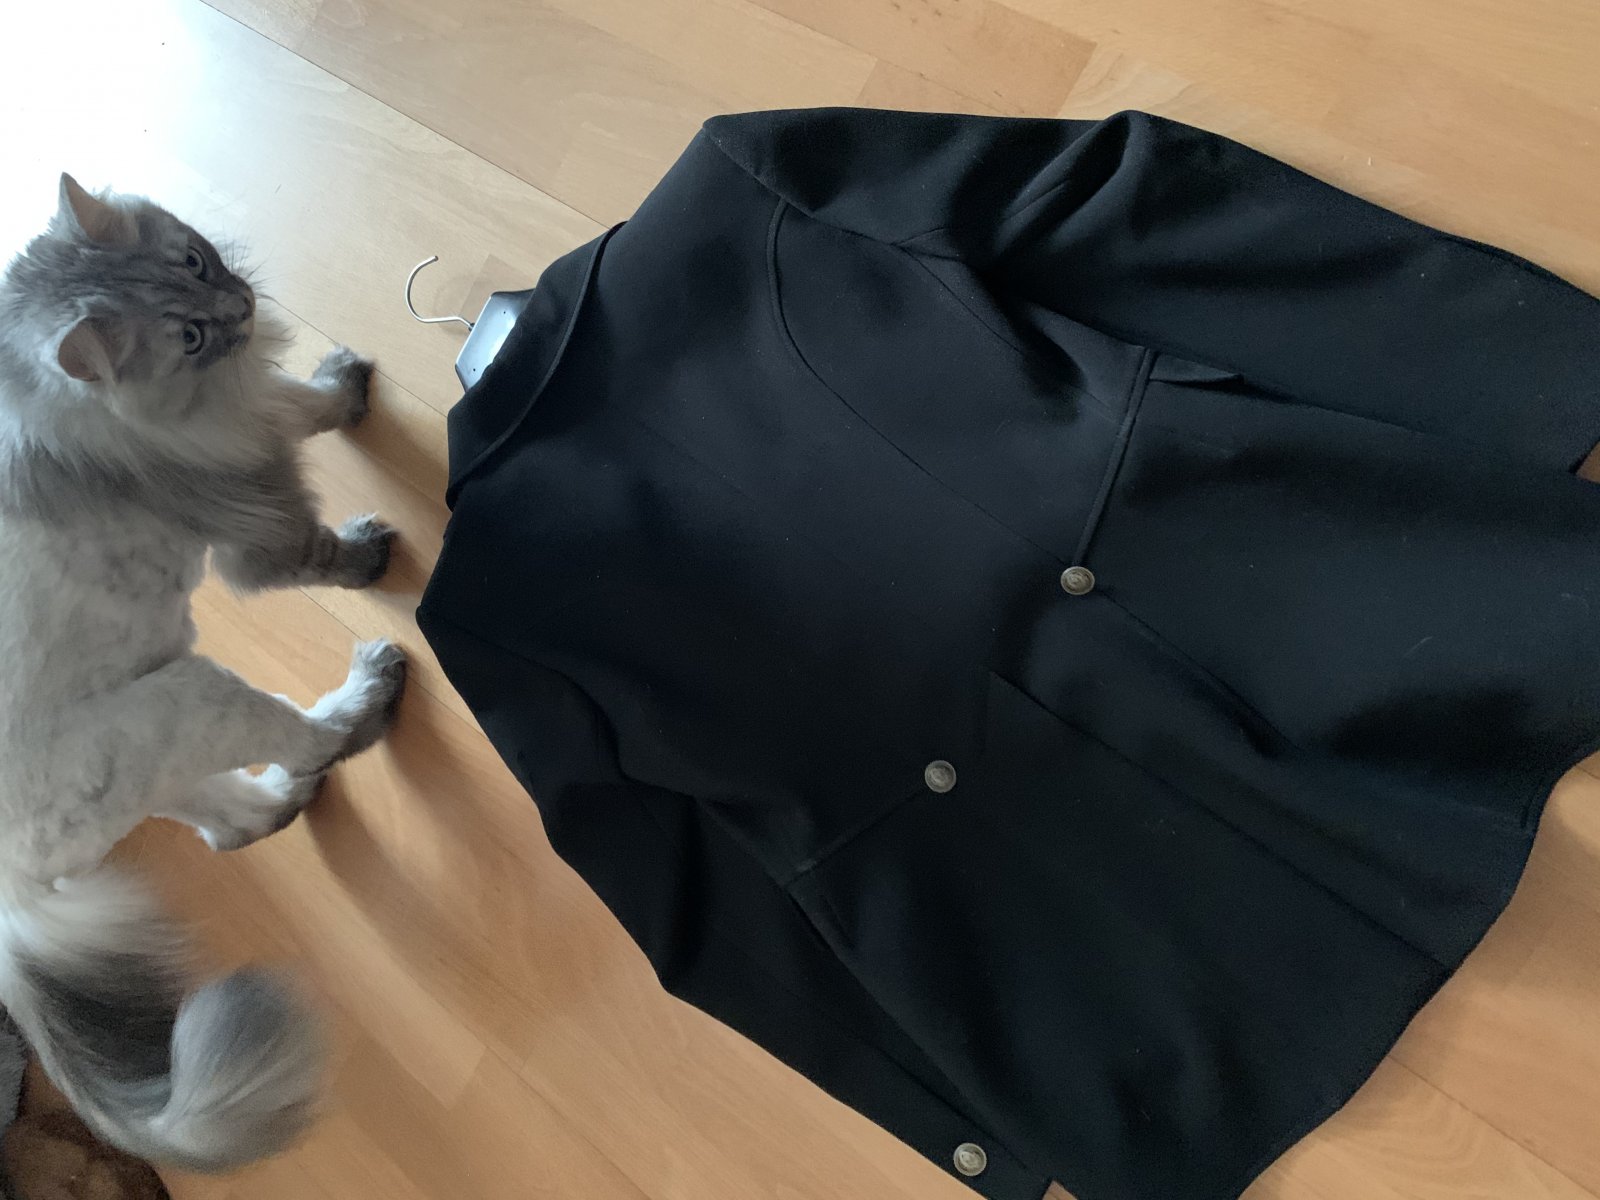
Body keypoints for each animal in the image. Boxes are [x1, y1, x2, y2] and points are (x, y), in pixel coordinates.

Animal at [0, 174, 410, 1173]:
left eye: (191, 259)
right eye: (185, 337)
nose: (242, 306)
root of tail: (9, 899)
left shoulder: (247, 411)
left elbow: (299, 399)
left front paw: (344, 383)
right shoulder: (252, 518)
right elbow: (322, 546)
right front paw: (373, 554)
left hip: (163, 729)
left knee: (240, 824)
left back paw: (290, 794)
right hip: (192, 700)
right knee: (316, 741)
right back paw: (374, 686)